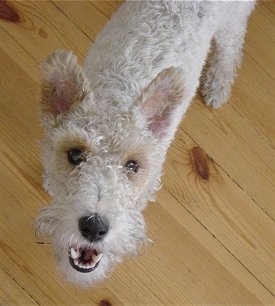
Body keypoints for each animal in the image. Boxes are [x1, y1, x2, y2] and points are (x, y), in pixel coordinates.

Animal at [35, 0, 256, 286]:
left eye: (133, 165)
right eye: (74, 155)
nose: (94, 227)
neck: (115, 96)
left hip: (233, 21)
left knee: (231, 49)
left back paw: (217, 86)